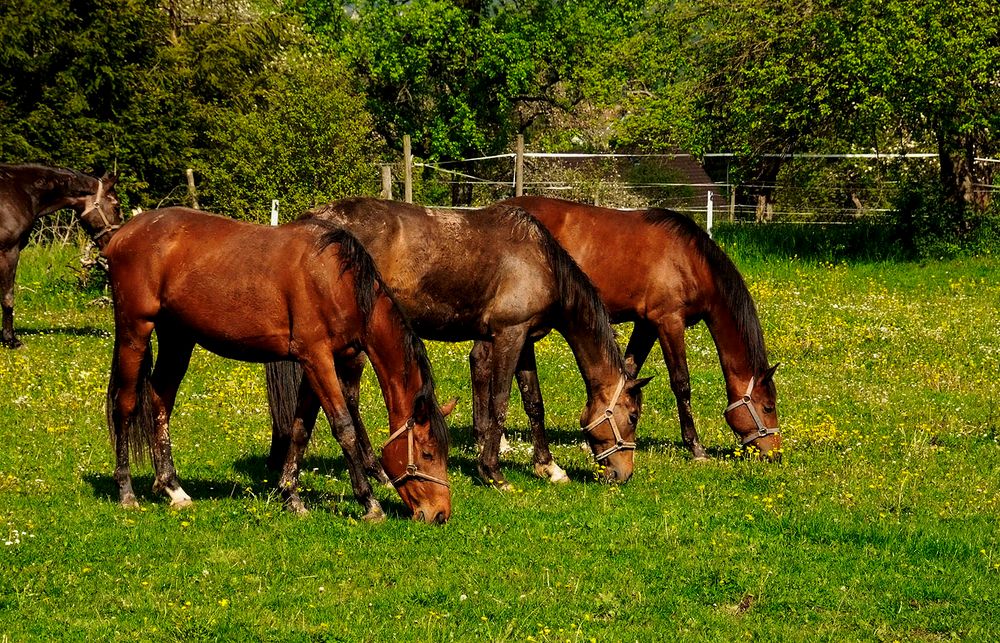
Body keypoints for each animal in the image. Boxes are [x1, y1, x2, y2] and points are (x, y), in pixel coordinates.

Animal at [0, 164, 121, 350]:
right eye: (117, 206)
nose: (116, 242)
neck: (19, 191)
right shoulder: (9, 252)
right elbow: (8, 298)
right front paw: (10, 340)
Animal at [102, 209, 454, 524]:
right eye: (427, 453)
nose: (440, 514)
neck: (338, 281)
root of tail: (121, 234)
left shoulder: (316, 364)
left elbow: (301, 429)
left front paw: (291, 496)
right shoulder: (317, 359)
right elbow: (344, 428)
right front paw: (369, 502)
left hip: (177, 338)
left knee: (161, 400)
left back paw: (173, 488)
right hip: (135, 330)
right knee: (126, 405)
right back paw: (126, 492)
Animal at [270, 196, 652, 488]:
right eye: (632, 416)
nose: (623, 475)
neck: (540, 261)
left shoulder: (525, 340)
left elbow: (534, 404)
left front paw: (548, 467)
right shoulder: (508, 336)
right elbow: (499, 403)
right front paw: (493, 472)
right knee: (349, 400)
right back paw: (376, 471)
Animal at [500, 194, 780, 460]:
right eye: (768, 407)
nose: (775, 453)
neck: (689, 260)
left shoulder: (646, 325)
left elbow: (629, 372)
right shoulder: (669, 322)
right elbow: (681, 383)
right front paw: (696, 447)